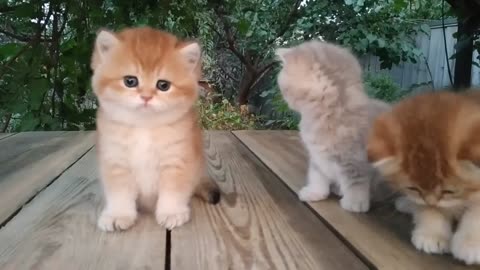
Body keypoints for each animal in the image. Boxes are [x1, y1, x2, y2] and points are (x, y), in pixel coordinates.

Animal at [91, 26, 220, 231]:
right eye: (130, 81)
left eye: (163, 85)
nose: (146, 97)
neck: (144, 127)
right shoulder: (116, 162)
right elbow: (120, 193)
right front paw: (118, 215)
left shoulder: (176, 161)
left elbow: (173, 191)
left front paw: (171, 213)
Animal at [274, 40, 390, 213]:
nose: (283, 96)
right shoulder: (317, 156)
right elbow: (317, 175)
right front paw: (315, 192)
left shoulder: (355, 159)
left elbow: (356, 180)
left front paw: (354, 203)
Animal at [370, 91, 480, 266]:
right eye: (414, 188)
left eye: (449, 191)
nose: (431, 202)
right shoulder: (419, 197)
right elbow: (426, 208)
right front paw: (432, 234)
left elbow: (476, 212)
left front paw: (471, 244)